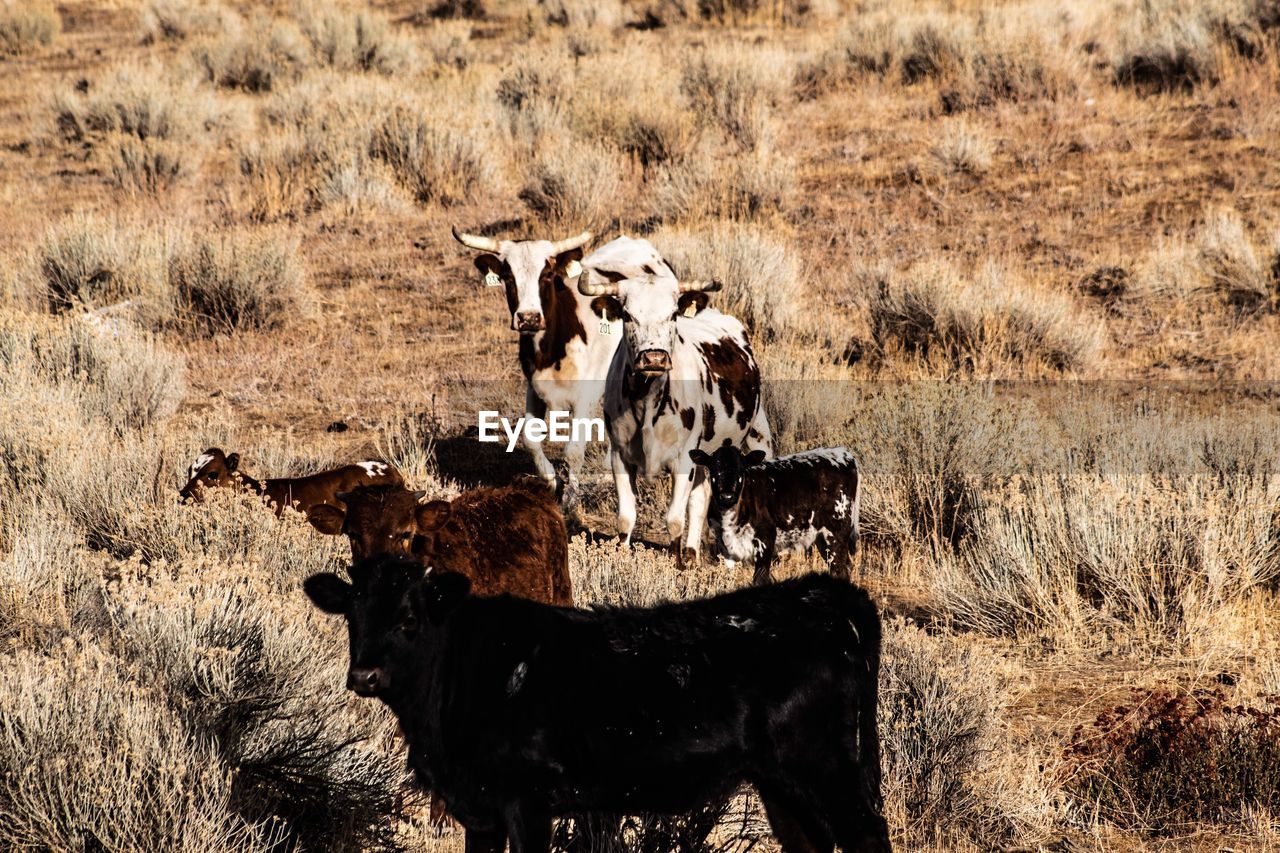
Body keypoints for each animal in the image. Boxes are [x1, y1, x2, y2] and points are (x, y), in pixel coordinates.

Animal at [303, 555, 885, 845]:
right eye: (352, 615)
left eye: (409, 619)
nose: (364, 675)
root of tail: (815, 594)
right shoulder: (480, 811)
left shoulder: (528, 800)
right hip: (780, 782)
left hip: (825, 768)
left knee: (866, 835)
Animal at [578, 263, 768, 558]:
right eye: (628, 316)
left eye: (672, 314)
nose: (654, 357)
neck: (647, 402)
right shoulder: (619, 455)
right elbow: (626, 518)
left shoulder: (684, 460)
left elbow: (674, 520)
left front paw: (677, 562)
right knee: (701, 498)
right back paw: (692, 551)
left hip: (758, 432)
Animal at [691, 445, 860, 584]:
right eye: (714, 469)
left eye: (741, 469)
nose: (727, 496)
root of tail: (842, 453)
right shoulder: (725, 546)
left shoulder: (765, 538)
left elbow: (760, 579)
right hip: (822, 537)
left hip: (836, 531)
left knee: (840, 569)